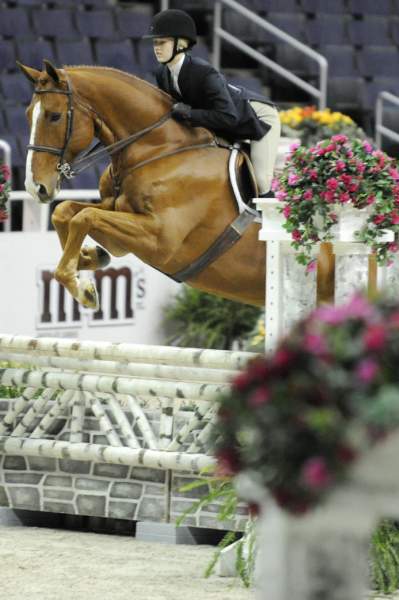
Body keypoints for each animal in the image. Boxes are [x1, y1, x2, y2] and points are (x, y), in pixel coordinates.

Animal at [18, 61, 336, 310]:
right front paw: (90, 258)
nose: (36, 187)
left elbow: (84, 217)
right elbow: (67, 213)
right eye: (27, 115)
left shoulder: (160, 239)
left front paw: (82, 288)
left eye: (54, 116)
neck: (158, 148)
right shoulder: (117, 218)